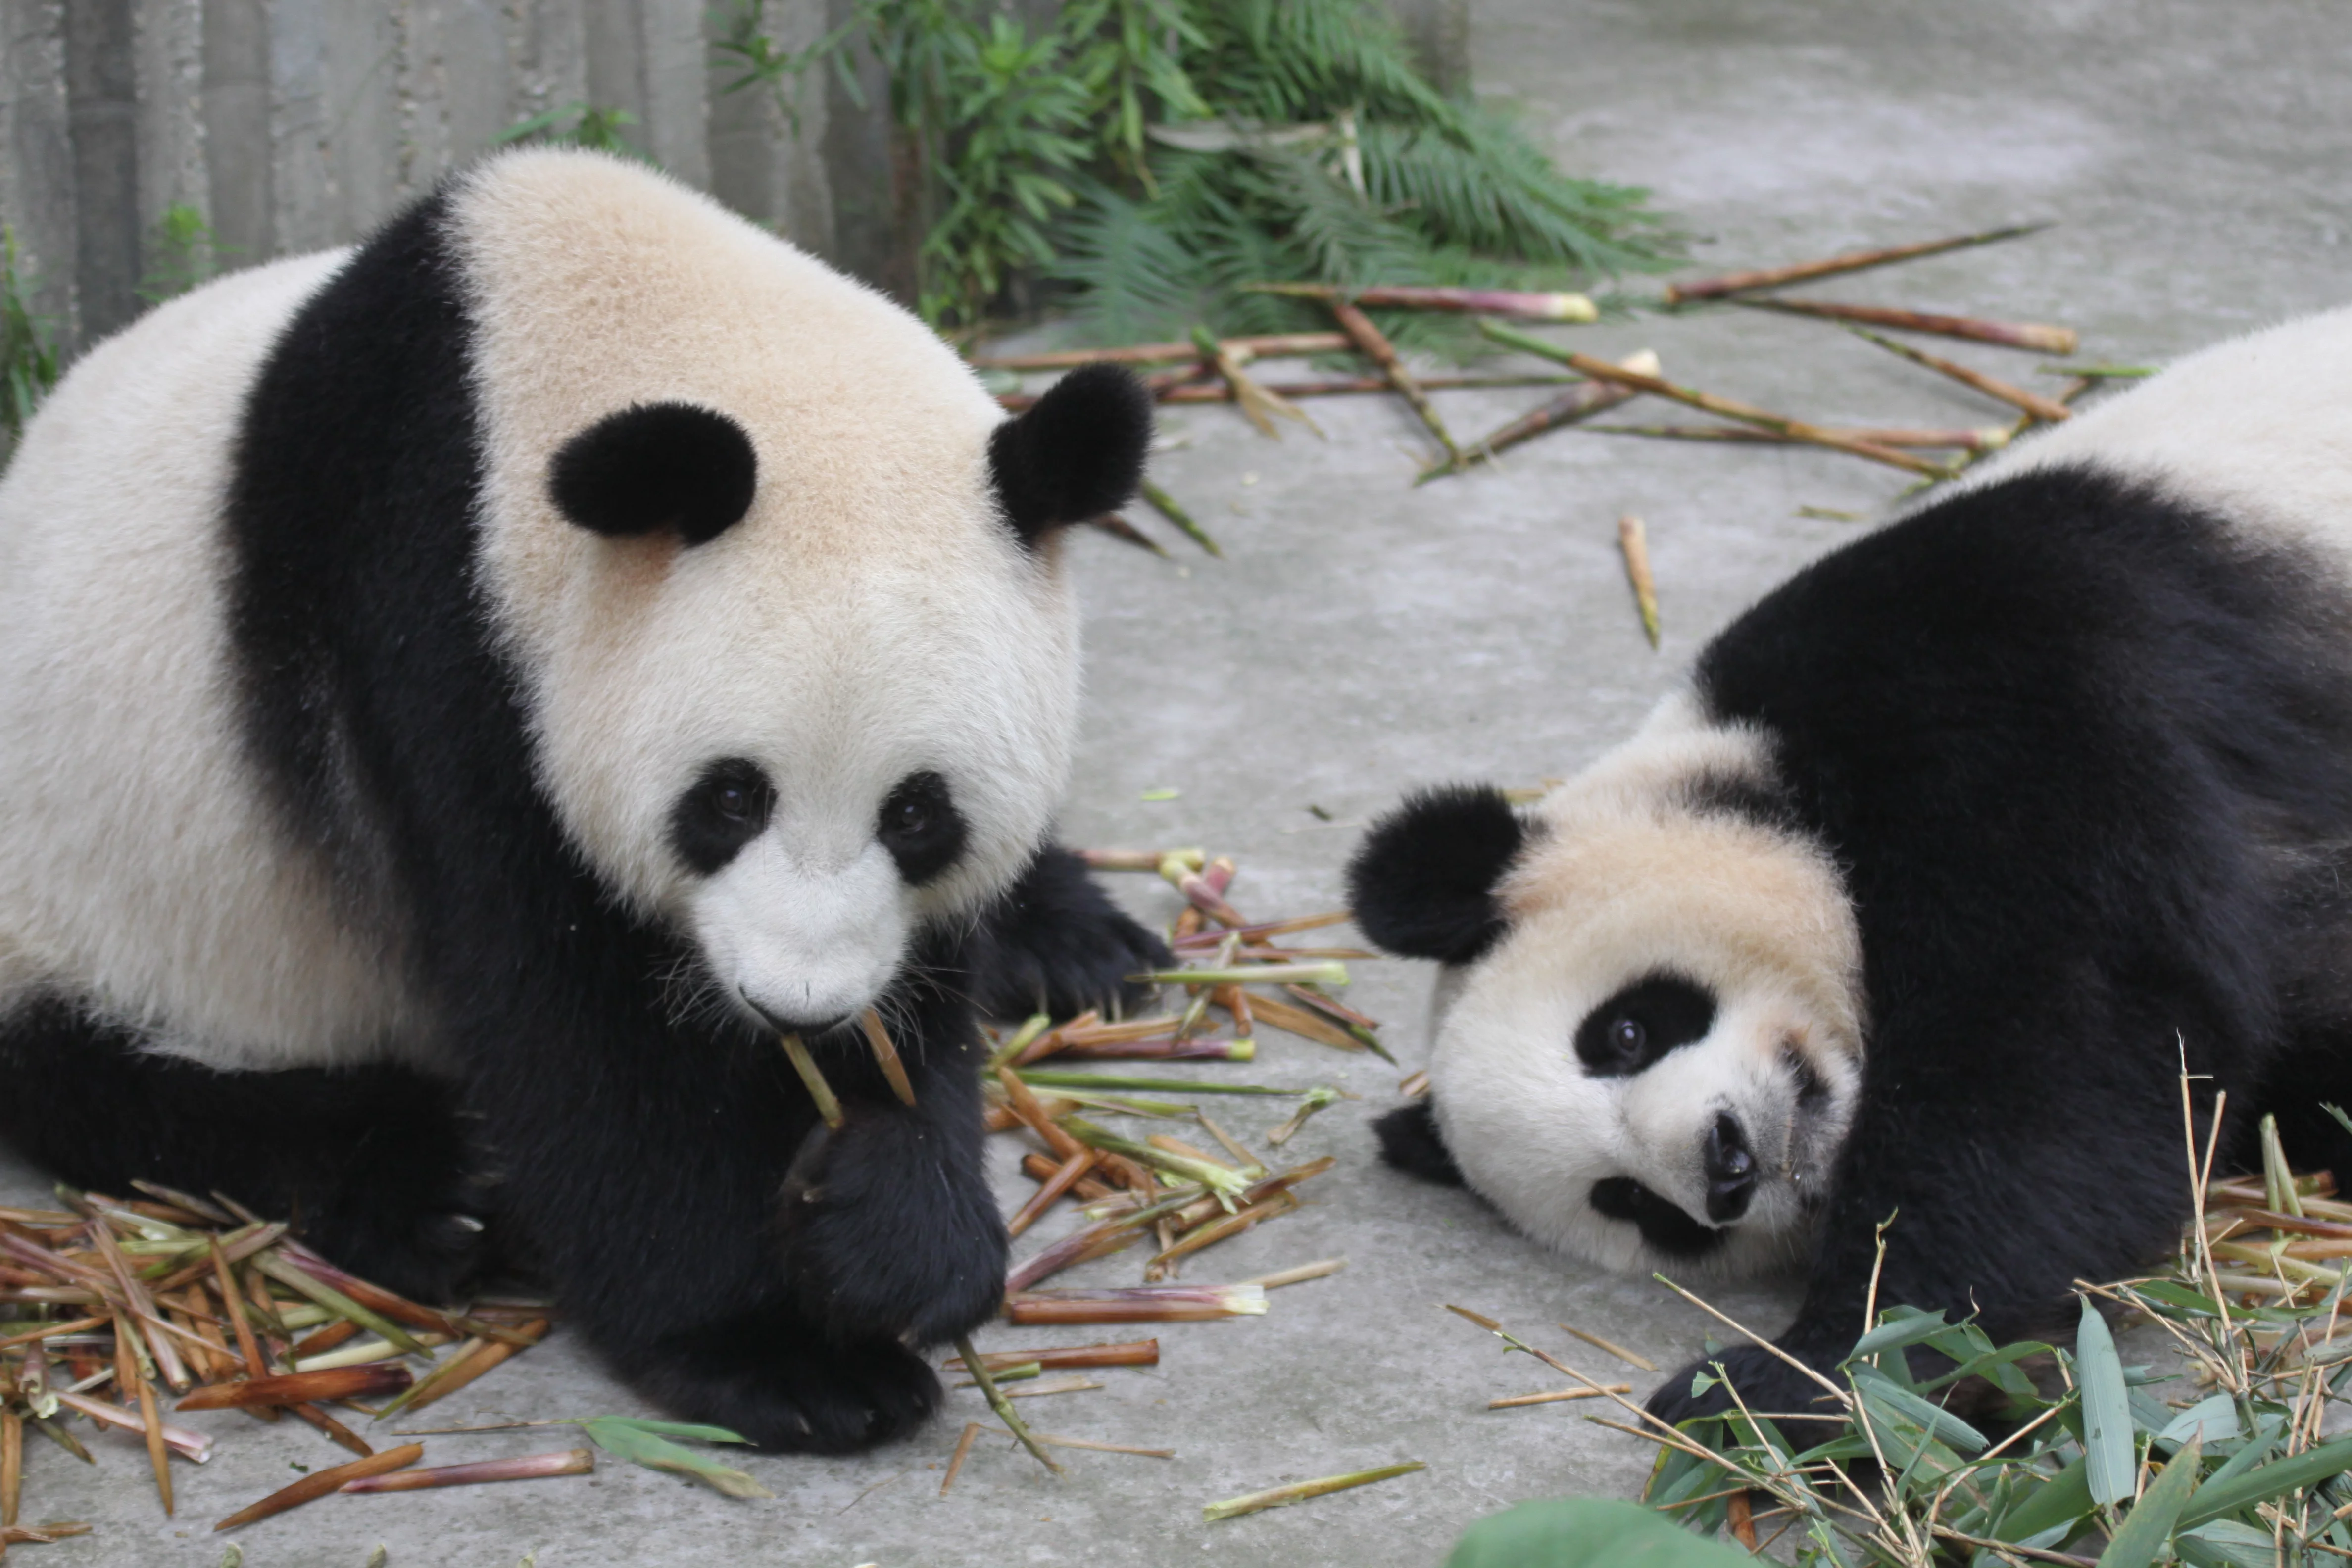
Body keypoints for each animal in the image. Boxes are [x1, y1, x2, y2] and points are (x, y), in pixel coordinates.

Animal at [0, 148, 1166, 1452]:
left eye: (917, 814)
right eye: (729, 798)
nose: (795, 1007)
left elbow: (921, 1004)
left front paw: (889, 1229)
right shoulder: (434, 623)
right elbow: (571, 1024)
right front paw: (781, 1353)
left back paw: (1078, 935)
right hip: (97, 911)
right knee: (121, 1089)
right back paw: (427, 1186)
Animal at [1347, 304, 2352, 1427]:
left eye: (1625, 1030)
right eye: (1634, 1204)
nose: (1728, 1165)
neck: (1759, 751)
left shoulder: (1975, 675)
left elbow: (2063, 1029)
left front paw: (1811, 1371)